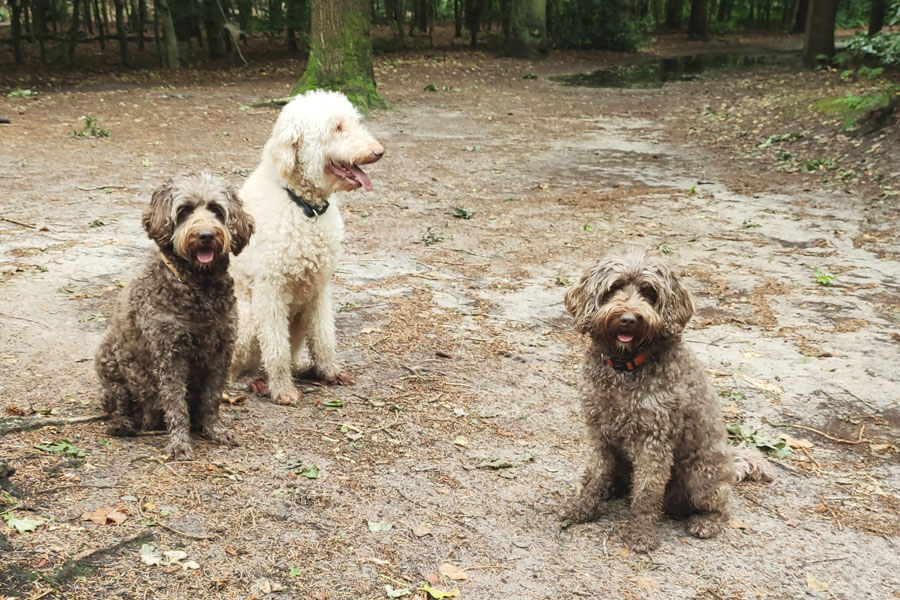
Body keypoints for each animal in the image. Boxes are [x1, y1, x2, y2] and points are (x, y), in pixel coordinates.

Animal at [229, 91, 384, 406]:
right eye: (336, 128)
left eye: (353, 122)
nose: (378, 151)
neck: (305, 207)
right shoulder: (270, 290)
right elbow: (276, 348)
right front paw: (282, 389)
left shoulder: (319, 288)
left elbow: (324, 337)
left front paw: (328, 371)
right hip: (246, 319)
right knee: (235, 369)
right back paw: (252, 382)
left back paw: (300, 367)